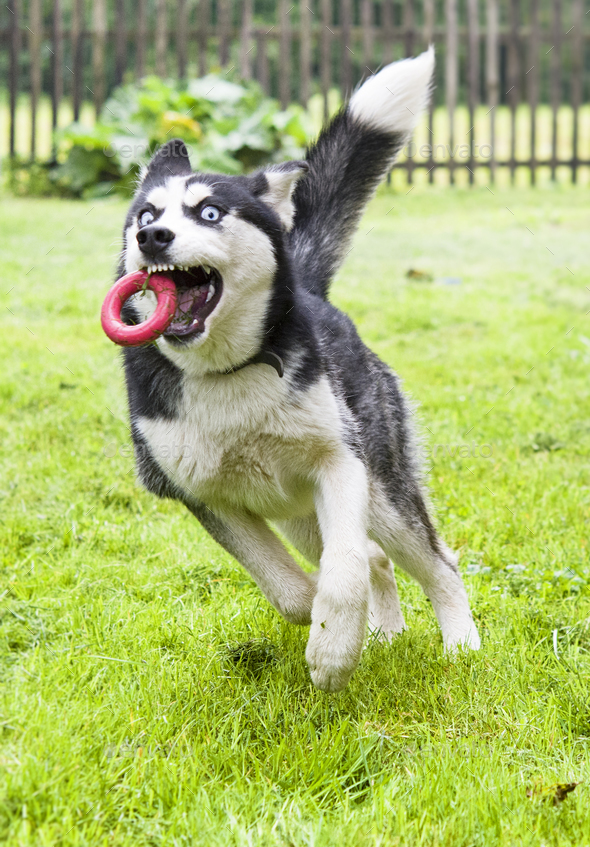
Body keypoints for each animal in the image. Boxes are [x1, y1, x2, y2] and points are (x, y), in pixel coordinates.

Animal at [119, 49, 480, 692]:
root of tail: (311, 289)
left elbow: (345, 572)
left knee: (432, 560)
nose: (151, 236)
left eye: (209, 212)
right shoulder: (199, 494)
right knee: (377, 557)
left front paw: (333, 648)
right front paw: (324, 622)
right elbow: (287, 591)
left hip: (381, 487)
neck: (227, 372)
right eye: (147, 212)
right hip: (300, 516)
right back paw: (386, 633)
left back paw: (461, 645)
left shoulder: (341, 463)